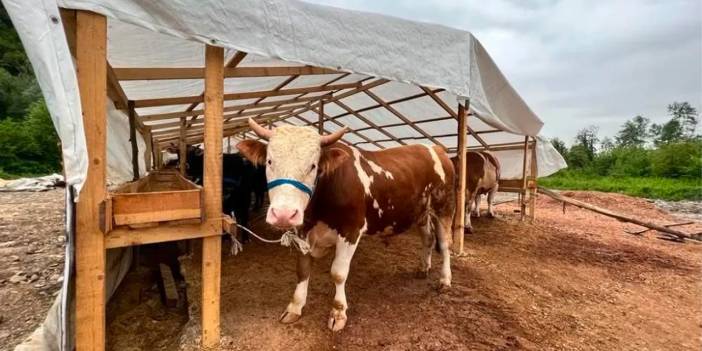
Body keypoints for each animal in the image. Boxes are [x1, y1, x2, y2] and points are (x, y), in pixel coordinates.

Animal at [236, 118, 456, 332]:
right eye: (269, 161)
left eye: (313, 166)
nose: (283, 214)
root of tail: (435, 148)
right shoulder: (303, 231)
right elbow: (303, 269)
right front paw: (295, 307)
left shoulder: (351, 229)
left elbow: (338, 273)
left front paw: (338, 312)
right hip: (421, 213)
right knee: (428, 239)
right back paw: (423, 268)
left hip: (444, 207)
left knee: (445, 244)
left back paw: (445, 280)